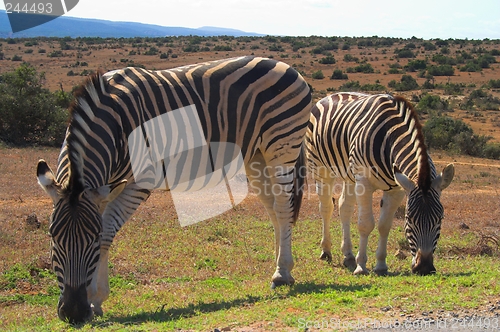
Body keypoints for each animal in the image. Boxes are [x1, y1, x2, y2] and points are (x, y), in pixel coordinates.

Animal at [37, 55, 310, 322]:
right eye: (52, 236)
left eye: (91, 241)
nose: (73, 313)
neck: (115, 126)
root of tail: (286, 65)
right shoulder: (104, 188)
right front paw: (96, 301)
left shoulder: (141, 180)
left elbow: (106, 231)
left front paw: (96, 297)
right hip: (256, 157)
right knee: (273, 209)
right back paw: (282, 265)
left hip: (283, 145)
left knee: (284, 208)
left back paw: (281, 274)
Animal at [306, 92, 456, 276]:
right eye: (409, 218)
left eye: (440, 219)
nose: (425, 268)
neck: (389, 137)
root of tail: (331, 95)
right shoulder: (364, 183)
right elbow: (365, 224)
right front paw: (361, 266)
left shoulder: (397, 189)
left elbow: (384, 225)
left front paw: (381, 265)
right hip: (320, 168)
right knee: (327, 207)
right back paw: (326, 251)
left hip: (350, 176)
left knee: (344, 208)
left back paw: (348, 255)